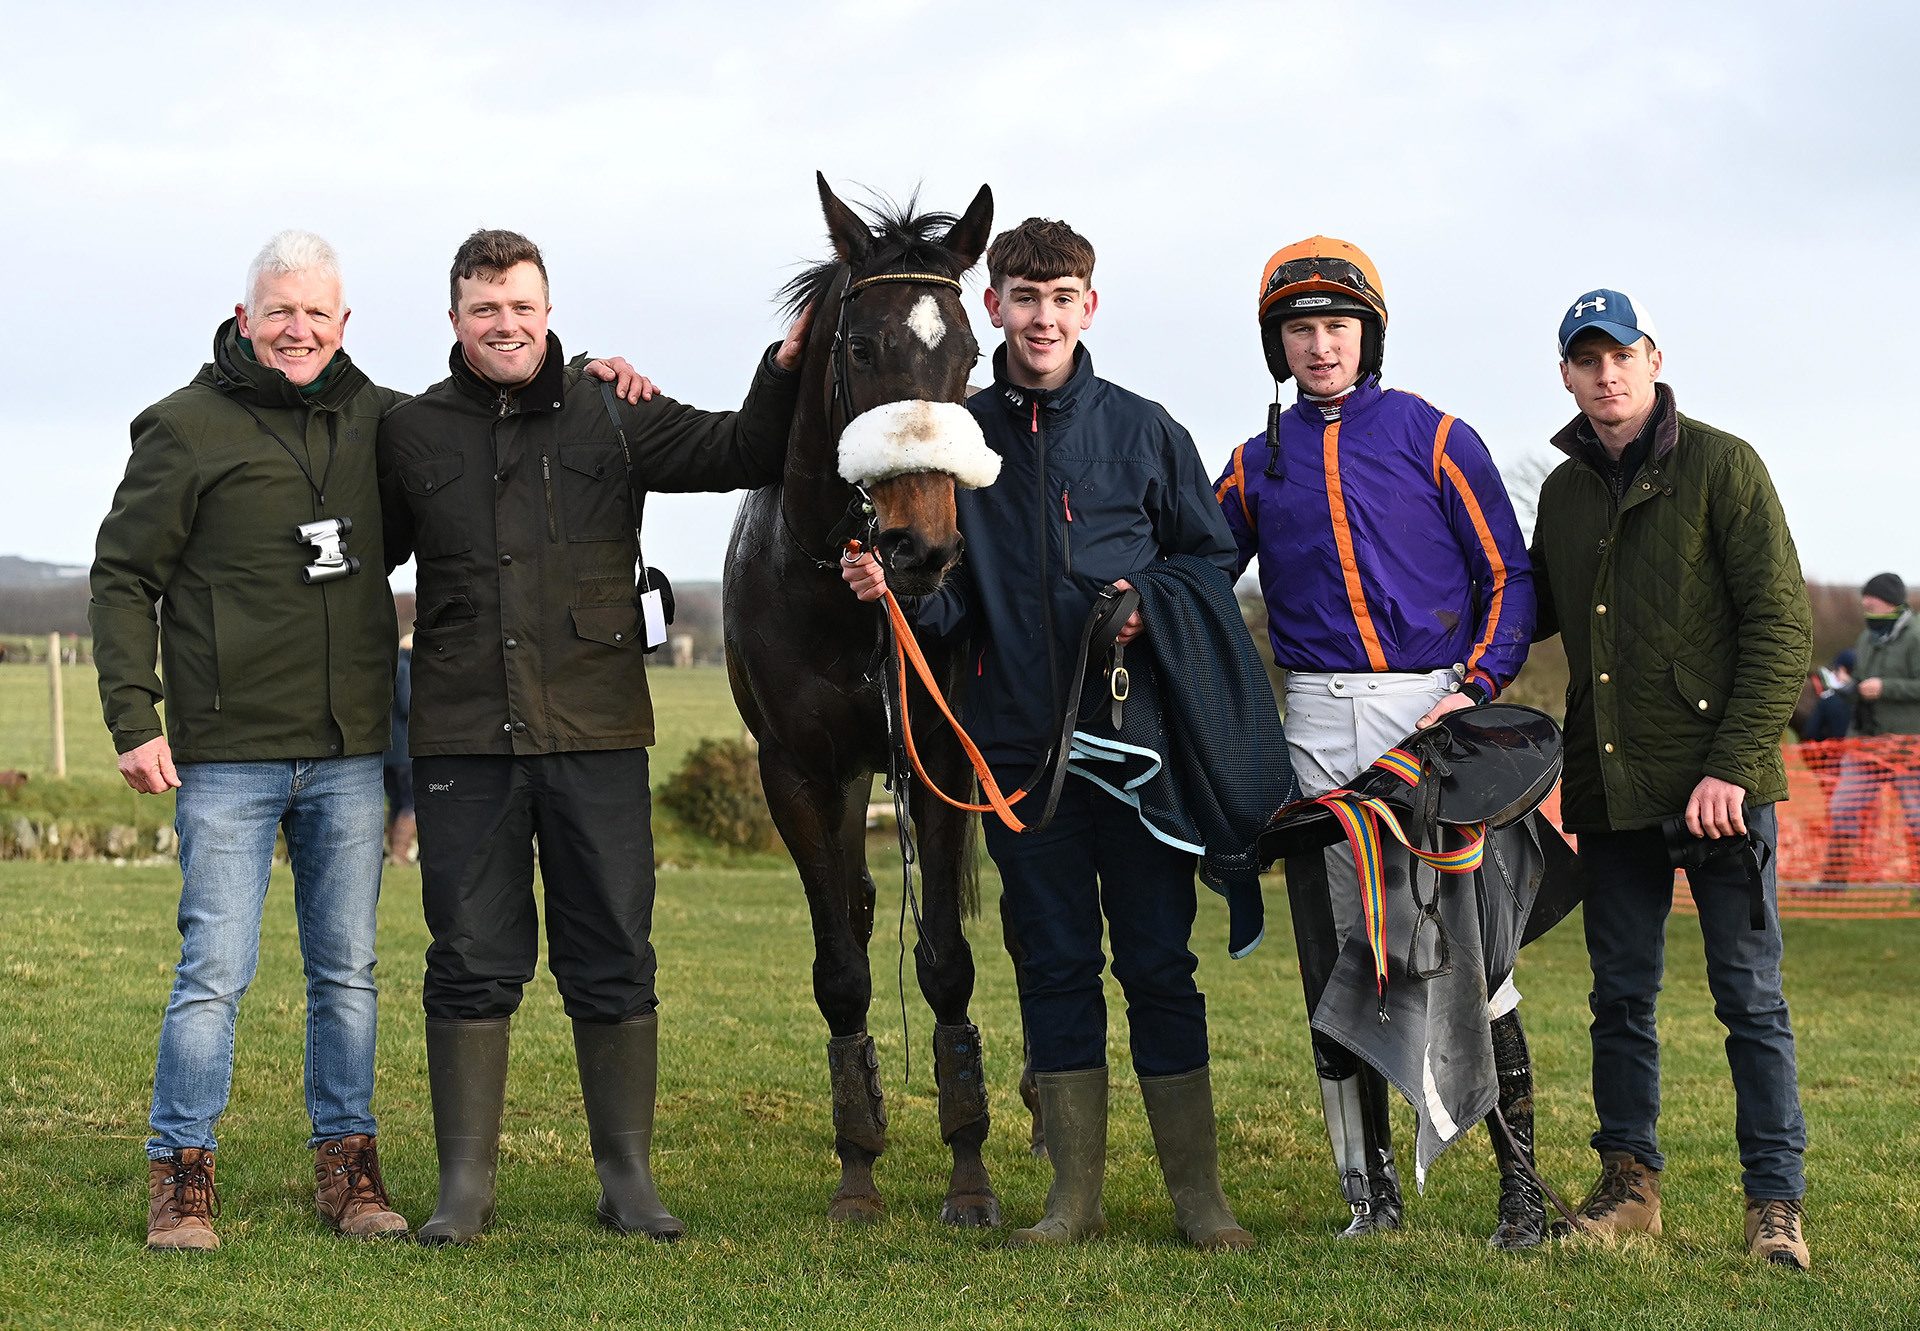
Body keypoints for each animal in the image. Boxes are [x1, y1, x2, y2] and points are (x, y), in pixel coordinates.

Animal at [721, 176, 1006, 1221]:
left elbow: (947, 963)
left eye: (968, 352)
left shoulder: (942, 762)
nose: (921, 548)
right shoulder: (802, 772)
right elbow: (842, 964)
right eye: (860, 348)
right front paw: (857, 1166)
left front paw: (969, 1170)